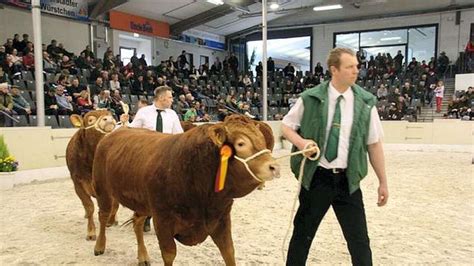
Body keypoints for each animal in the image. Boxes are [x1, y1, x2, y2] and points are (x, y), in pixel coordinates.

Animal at [65, 110, 120, 241]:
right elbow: (89, 206)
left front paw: (109, 221)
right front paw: (91, 232)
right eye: (90, 120)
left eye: (110, 114)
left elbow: (112, 205)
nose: (108, 119)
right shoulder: (77, 182)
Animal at [90, 115, 280, 264]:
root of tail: (112, 134)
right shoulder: (163, 220)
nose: (274, 167)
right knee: (103, 215)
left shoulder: (221, 218)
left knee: (137, 222)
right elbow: (169, 254)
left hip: (142, 202)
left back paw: (142, 256)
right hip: (103, 189)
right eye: (241, 143)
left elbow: (229, 252)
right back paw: (99, 245)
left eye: (262, 140)